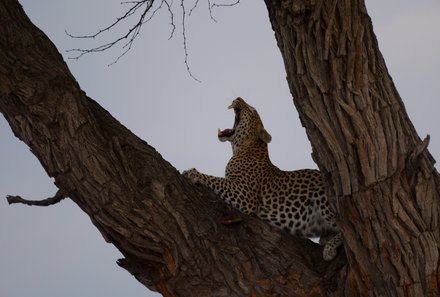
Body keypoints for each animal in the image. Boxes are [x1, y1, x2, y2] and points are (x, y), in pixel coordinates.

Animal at [182, 97, 344, 260]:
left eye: (252, 110)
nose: (238, 98)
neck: (242, 147)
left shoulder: (245, 195)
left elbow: (217, 180)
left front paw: (193, 173)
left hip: (322, 194)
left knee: (344, 227)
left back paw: (329, 248)